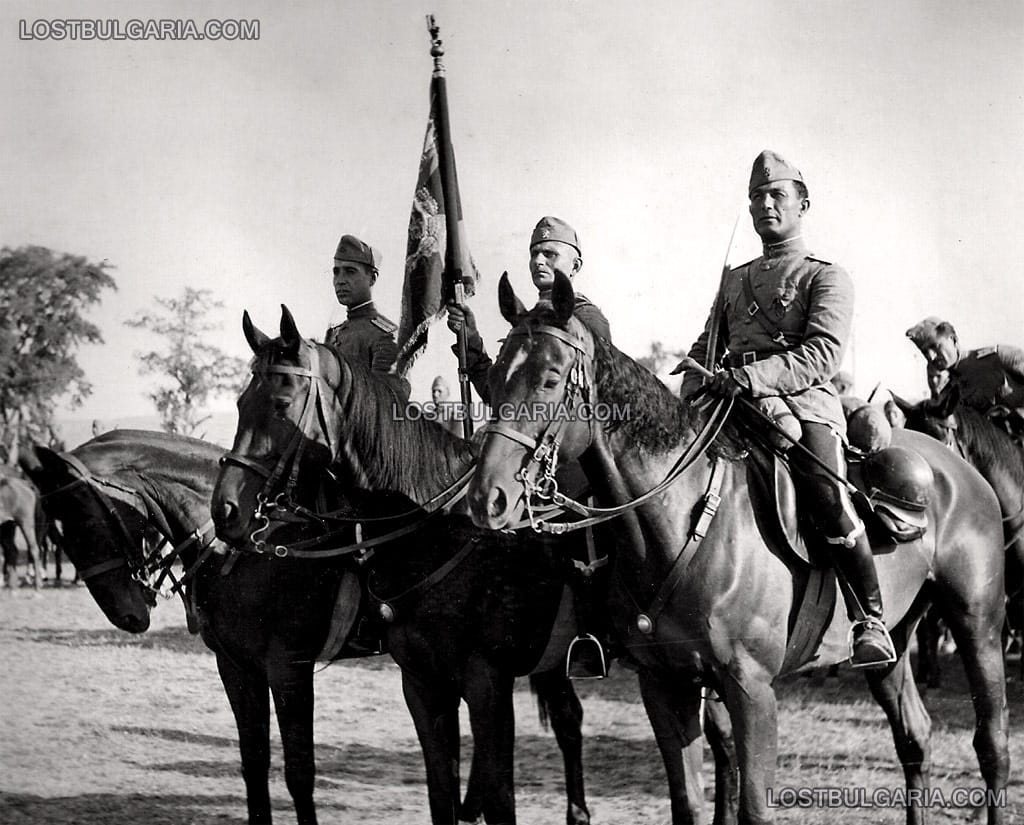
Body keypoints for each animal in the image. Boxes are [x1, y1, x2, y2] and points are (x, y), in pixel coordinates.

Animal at [208, 307, 598, 822]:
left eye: (281, 403)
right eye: (239, 403)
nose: (226, 510)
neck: (436, 531)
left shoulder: (486, 682)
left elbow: (501, 798)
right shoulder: (421, 682)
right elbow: (440, 790)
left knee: (570, 720)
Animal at [468, 272, 1011, 825]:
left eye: (551, 378)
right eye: (491, 381)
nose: (488, 498)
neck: (685, 521)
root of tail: (957, 469)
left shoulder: (752, 689)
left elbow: (752, 805)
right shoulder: (665, 685)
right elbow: (687, 801)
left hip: (978, 624)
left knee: (991, 743)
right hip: (895, 647)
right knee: (914, 735)